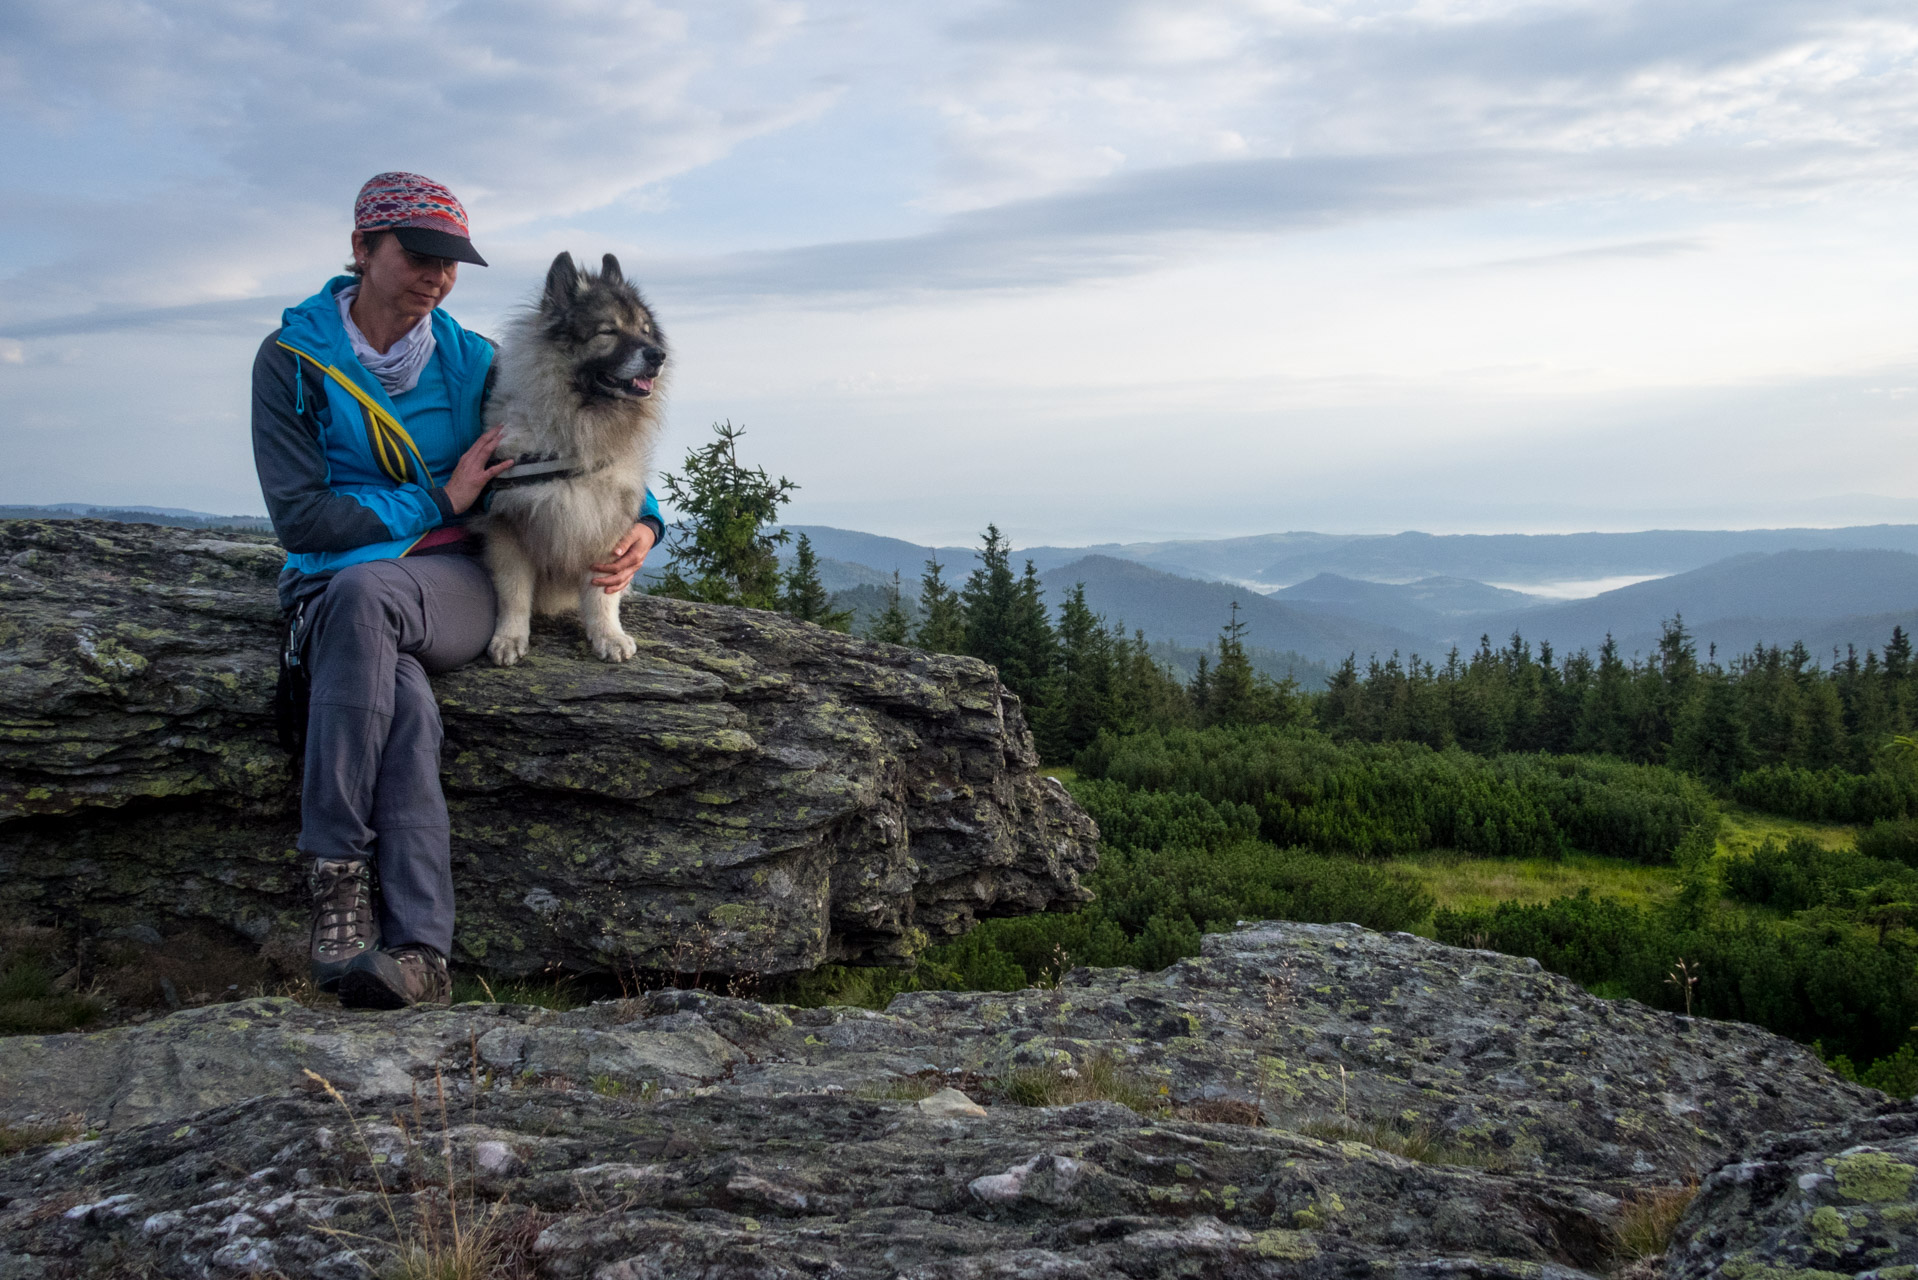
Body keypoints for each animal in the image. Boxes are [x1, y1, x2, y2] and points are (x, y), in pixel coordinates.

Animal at [477, 253, 667, 671]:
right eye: (608, 331)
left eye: (645, 332)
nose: (658, 355)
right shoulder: (508, 524)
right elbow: (513, 592)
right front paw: (509, 638)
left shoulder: (602, 521)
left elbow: (601, 596)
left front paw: (608, 636)